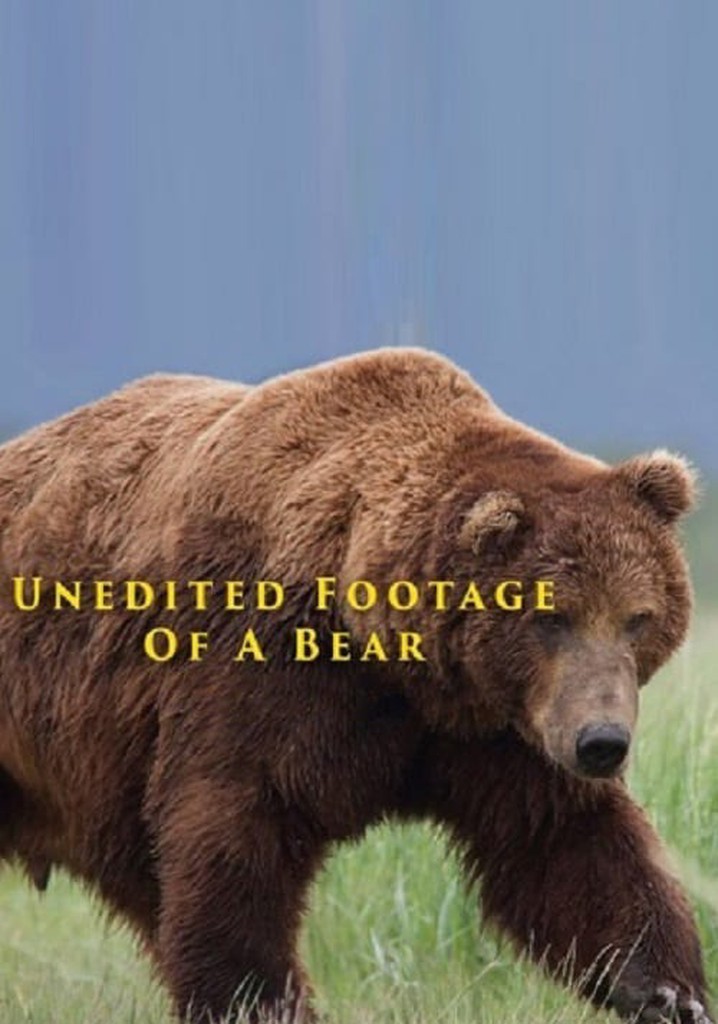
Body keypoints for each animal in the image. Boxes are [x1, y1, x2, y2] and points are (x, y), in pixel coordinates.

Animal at [0, 347, 711, 1024]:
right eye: (551, 617)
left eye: (637, 617)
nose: (603, 742)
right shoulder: (262, 672)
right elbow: (232, 841)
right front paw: (261, 1002)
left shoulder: (495, 730)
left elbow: (564, 843)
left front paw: (667, 992)